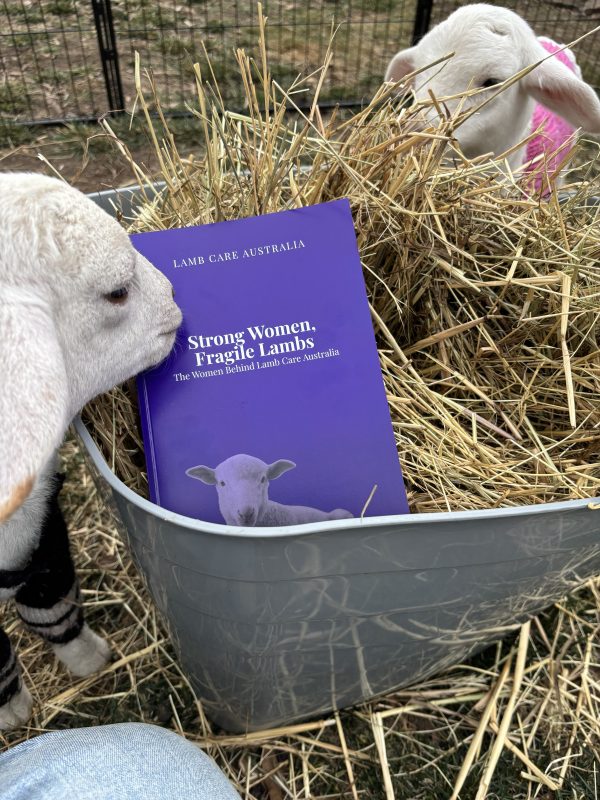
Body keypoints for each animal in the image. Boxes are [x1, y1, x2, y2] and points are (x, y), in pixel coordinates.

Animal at [0, 172, 182, 729]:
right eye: (116, 292)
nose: (176, 298)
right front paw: (12, 710)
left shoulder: (44, 538)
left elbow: (52, 606)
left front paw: (88, 660)